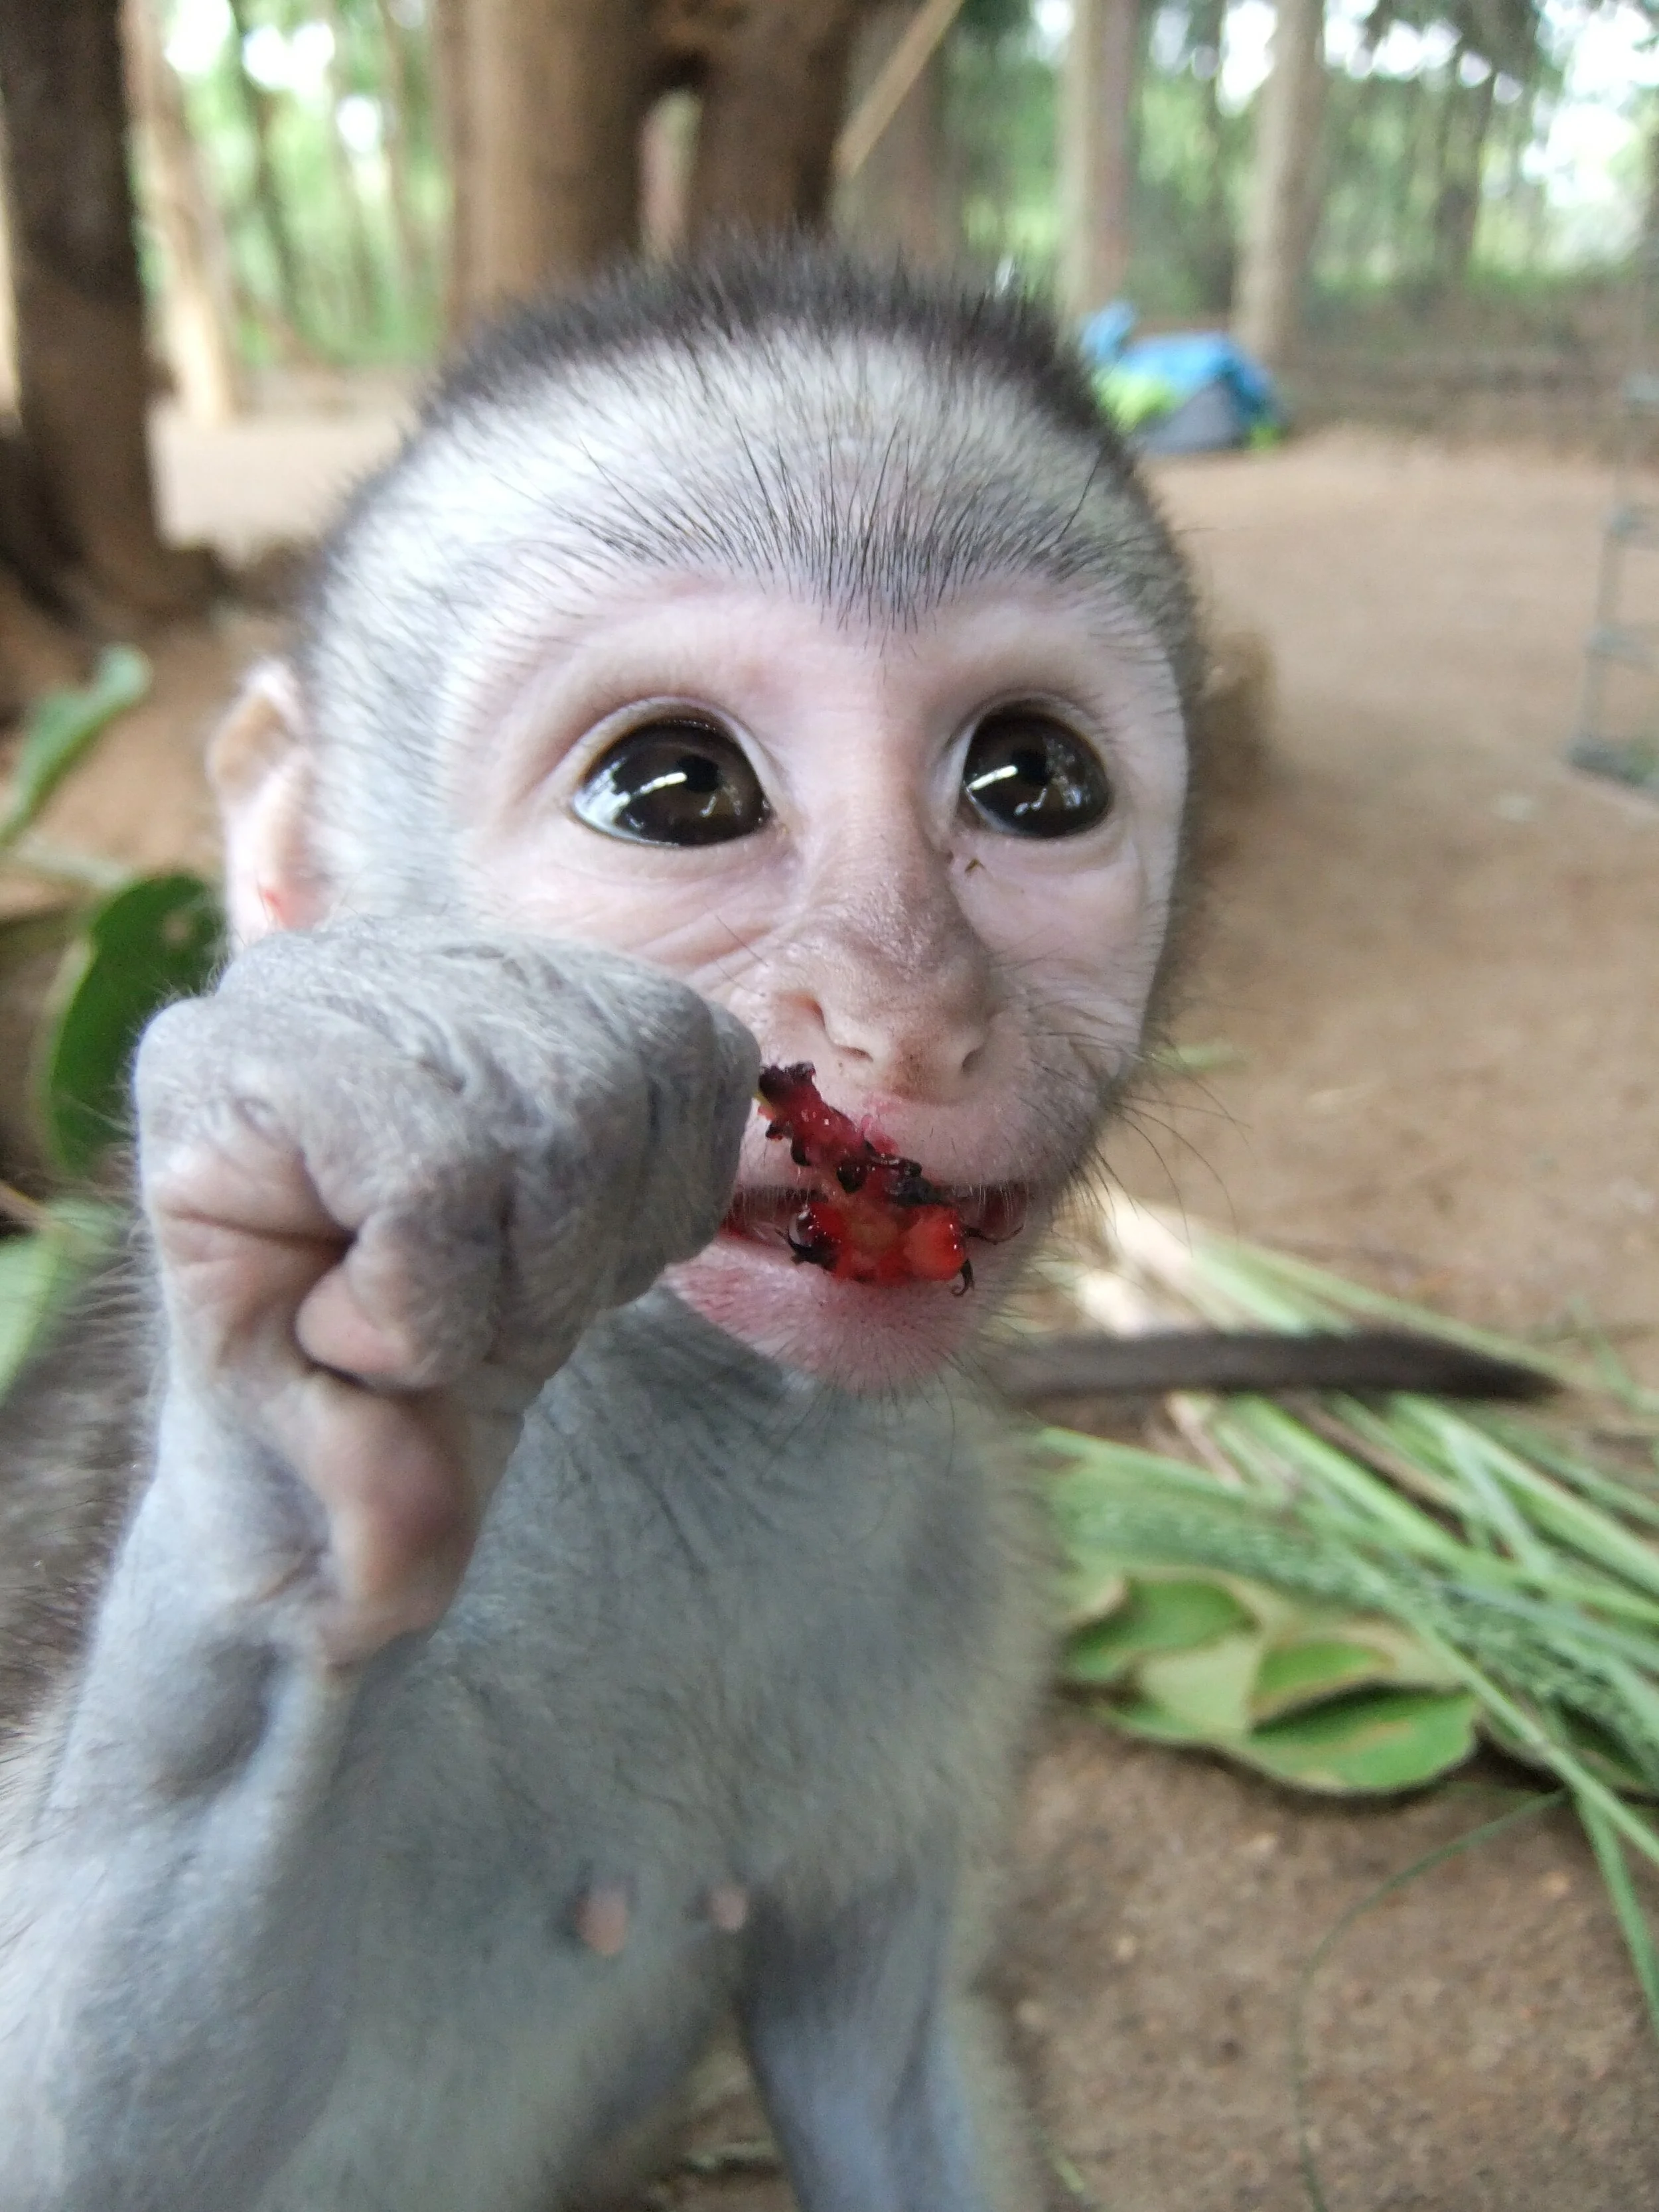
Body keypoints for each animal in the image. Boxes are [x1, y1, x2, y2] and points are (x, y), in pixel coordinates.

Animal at [0, 246, 1539, 2212]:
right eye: (675, 789)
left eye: (1032, 781)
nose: (905, 1011)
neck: (683, 1443)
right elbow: (72, 2140)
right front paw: (298, 1421)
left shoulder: (977, 1569)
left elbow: (886, 2064)